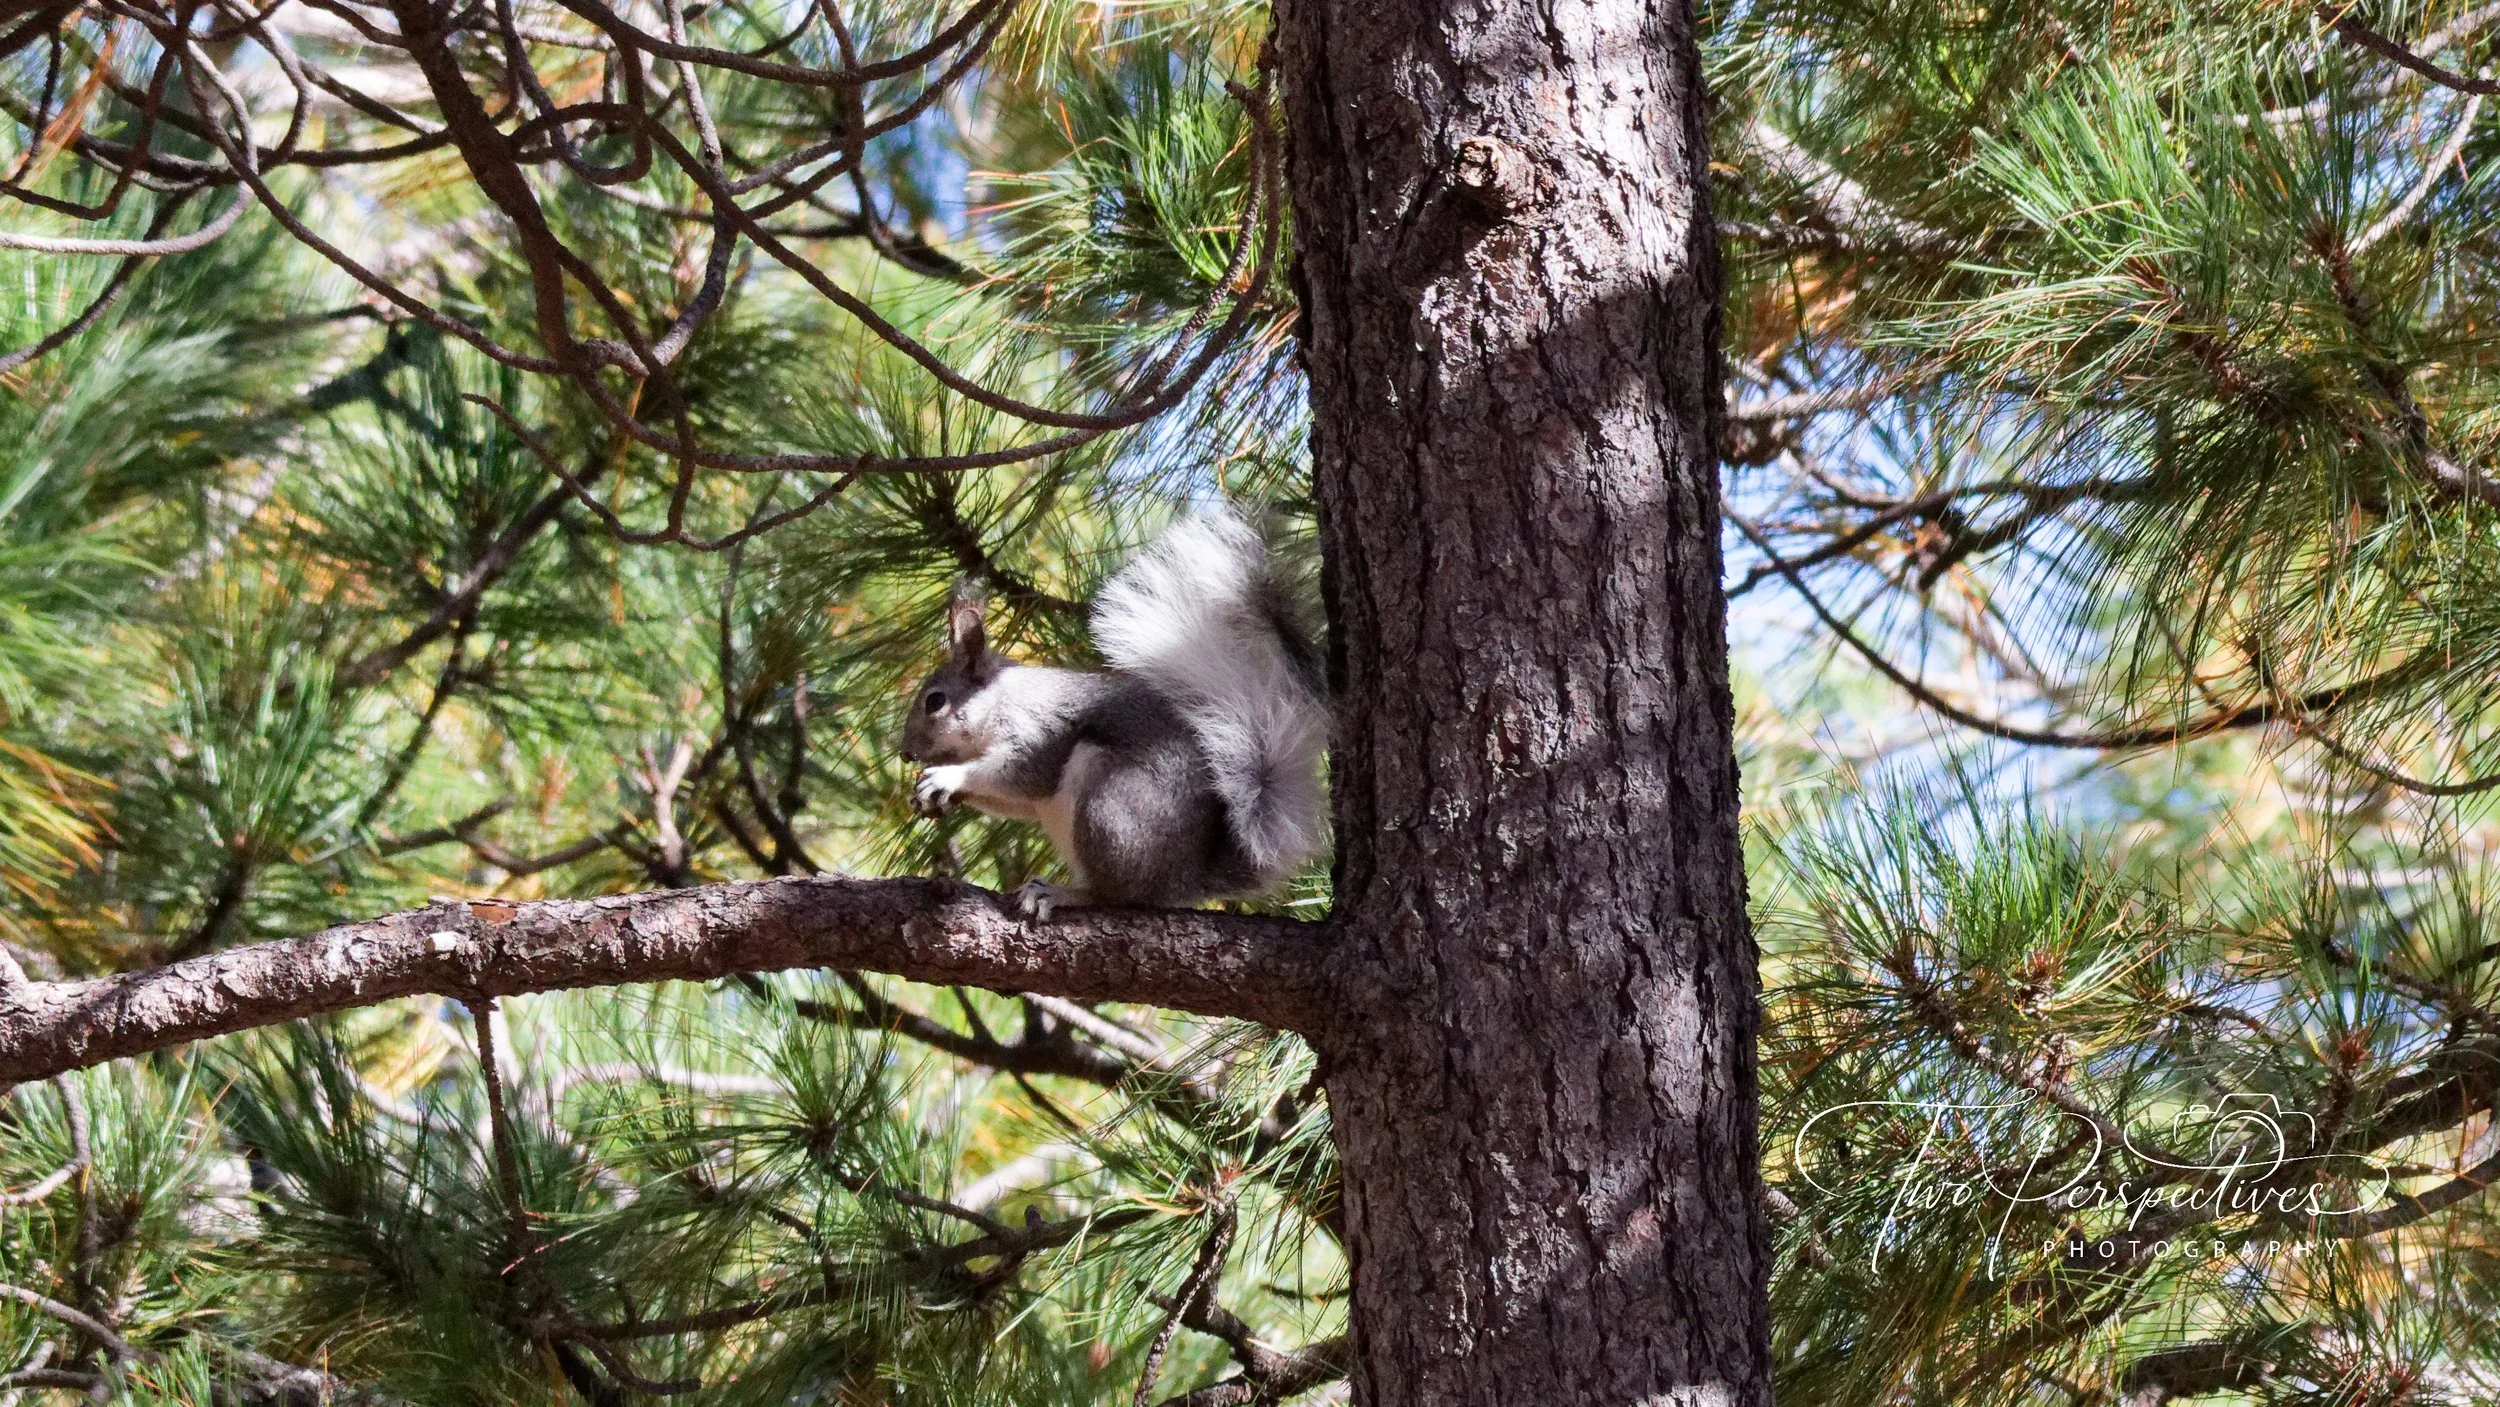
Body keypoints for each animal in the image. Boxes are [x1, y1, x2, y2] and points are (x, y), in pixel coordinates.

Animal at [899, 509, 1329, 919]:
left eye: (935, 701)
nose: (905, 753)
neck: (1002, 697)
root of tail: (1184, 880)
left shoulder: (1037, 732)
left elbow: (1021, 777)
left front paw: (948, 777)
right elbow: (1018, 802)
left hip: (1109, 811)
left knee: (1117, 896)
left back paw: (1063, 894)